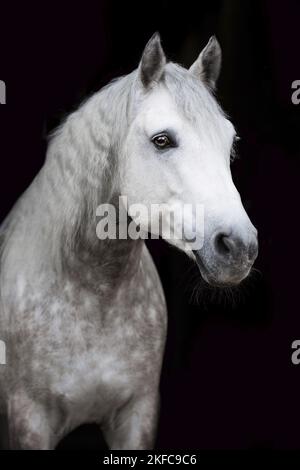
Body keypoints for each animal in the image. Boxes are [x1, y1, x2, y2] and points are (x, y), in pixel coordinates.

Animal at [0, 32, 258, 448]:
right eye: (162, 140)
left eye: (230, 141)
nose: (239, 249)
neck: (94, 295)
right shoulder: (29, 420)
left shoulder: (138, 414)